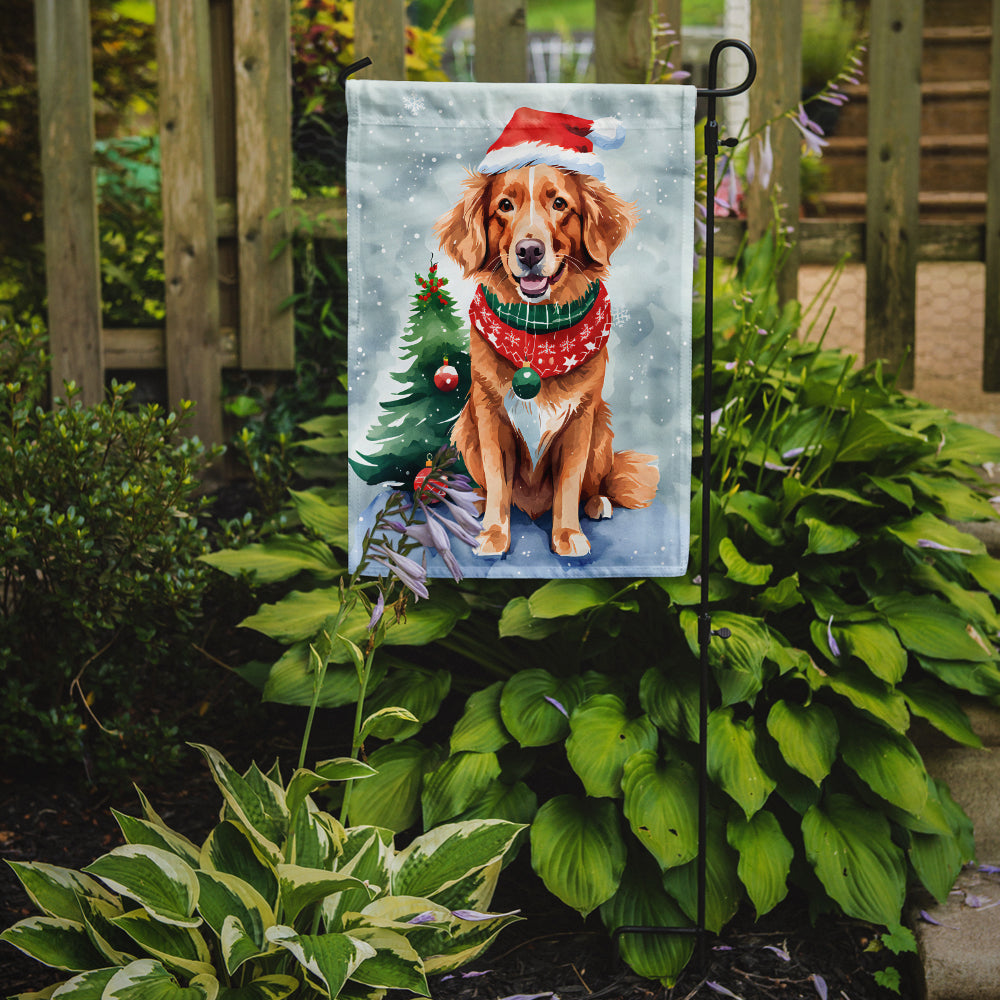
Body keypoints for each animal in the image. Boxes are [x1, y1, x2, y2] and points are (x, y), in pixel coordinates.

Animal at [436, 113, 656, 564]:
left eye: (560, 204)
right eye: (505, 206)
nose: (530, 251)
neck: (537, 335)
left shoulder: (580, 423)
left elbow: (568, 486)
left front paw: (568, 535)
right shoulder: (489, 418)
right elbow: (498, 482)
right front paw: (494, 534)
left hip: (603, 433)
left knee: (594, 485)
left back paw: (598, 503)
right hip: (465, 428)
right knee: (487, 485)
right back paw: (476, 502)